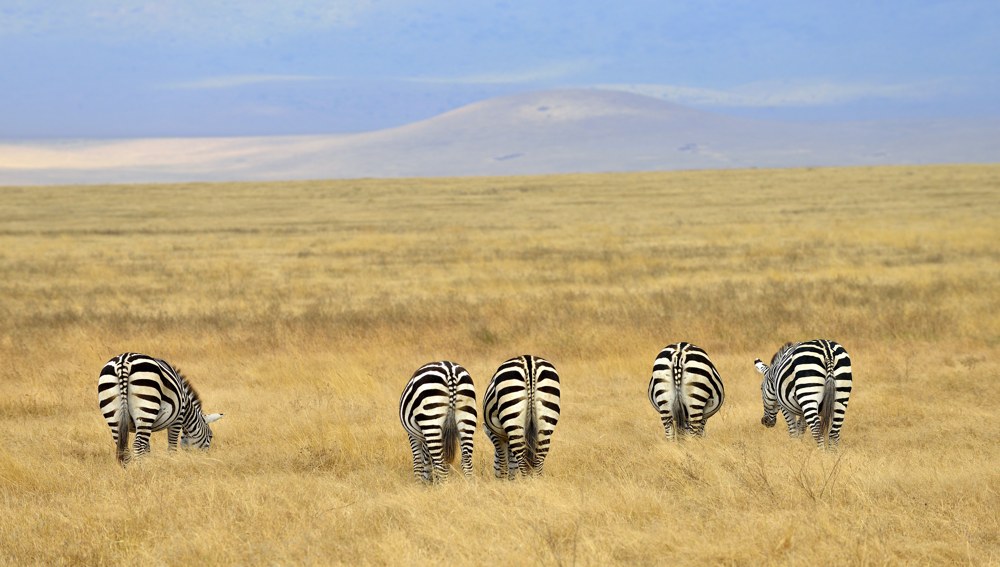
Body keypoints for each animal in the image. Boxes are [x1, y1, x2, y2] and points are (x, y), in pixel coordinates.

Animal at [96, 352, 224, 468]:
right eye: (211, 436)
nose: (206, 458)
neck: (187, 408)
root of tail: (123, 362)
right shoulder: (177, 419)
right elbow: (172, 447)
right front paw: (171, 464)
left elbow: (147, 449)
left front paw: (149, 463)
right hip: (147, 407)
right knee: (137, 446)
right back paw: (141, 472)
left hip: (114, 414)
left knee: (124, 449)